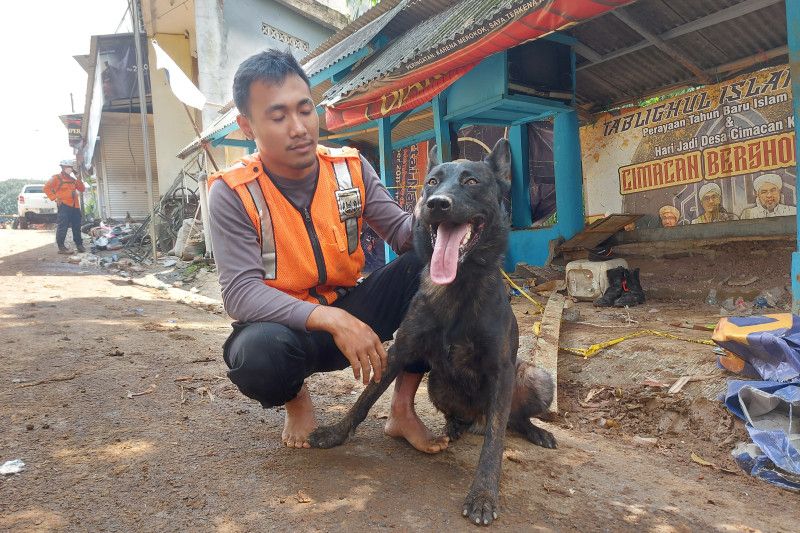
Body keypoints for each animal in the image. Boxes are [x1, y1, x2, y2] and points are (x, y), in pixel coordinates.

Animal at [308, 137, 556, 524]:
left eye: (471, 181)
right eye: (432, 182)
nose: (437, 204)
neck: (457, 286)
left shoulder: (501, 371)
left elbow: (495, 442)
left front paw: (483, 494)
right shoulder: (401, 349)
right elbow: (365, 399)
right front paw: (336, 433)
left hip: (536, 378)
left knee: (511, 419)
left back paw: (534, 430)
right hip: (438, 383)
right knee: (467, 416)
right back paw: (455, 427)